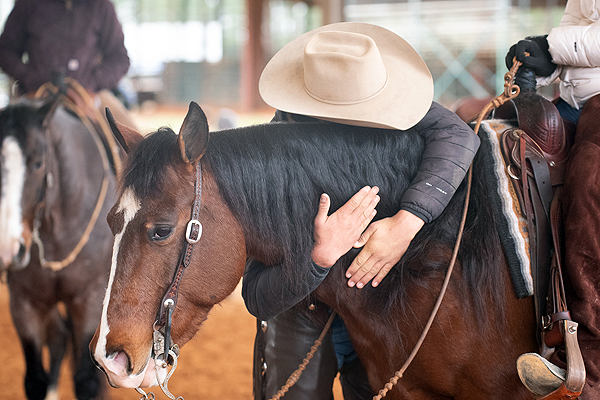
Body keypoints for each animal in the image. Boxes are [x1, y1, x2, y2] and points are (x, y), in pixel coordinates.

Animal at [0, 97, 116, 400]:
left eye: (39, 162)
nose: (7, 249)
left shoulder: (89, 299)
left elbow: (87, 382)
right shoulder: (24, 302)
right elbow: (34, 381)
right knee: (59, 338)